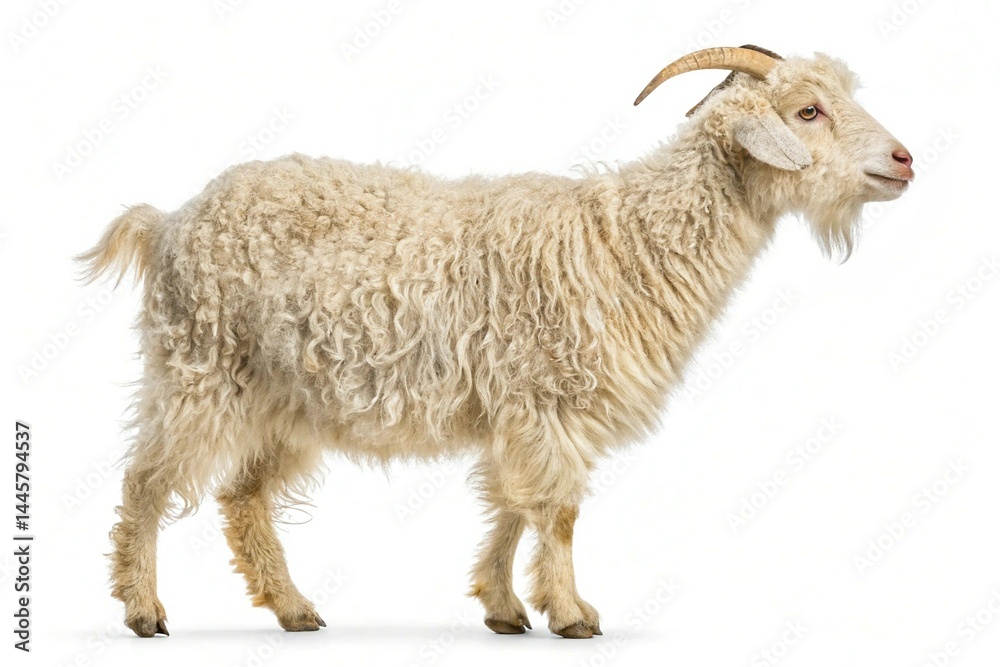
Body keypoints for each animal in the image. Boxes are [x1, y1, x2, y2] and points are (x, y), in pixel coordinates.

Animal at [80, 45, 913, 639]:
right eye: (808, 110)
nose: (904, 159)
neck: (624, 241)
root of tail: (170, 222)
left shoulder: (522, 408)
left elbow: (516, 502)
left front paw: (505, 606)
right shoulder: (544, 395)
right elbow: (558, 510)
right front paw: (572, 613)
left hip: (284, 397)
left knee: (243, 495)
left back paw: (293, 608)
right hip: (199, 368)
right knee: (147, 481)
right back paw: (144, 610)